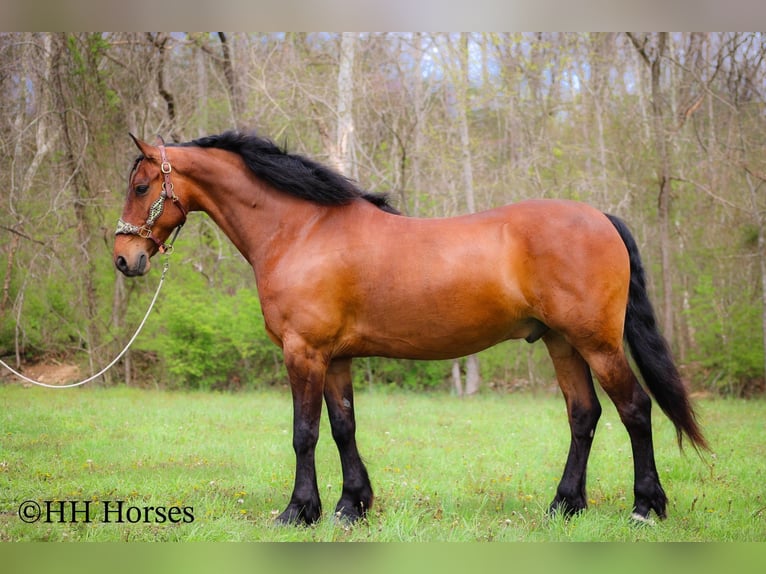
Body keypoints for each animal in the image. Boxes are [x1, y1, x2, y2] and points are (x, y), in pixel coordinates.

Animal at [113, 130, 707, 526]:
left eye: (141, 186)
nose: (124, 257)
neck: (302, 229)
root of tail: (602, 218)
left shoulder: (303, 352)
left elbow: (304, 432)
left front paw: (298, 510)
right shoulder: (336, 358)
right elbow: (343, 427)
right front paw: (351, 506)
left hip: (598, 343)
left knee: (635, 410)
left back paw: (646, 507)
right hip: (562, 343)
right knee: (583, 416)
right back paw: (565, 504)